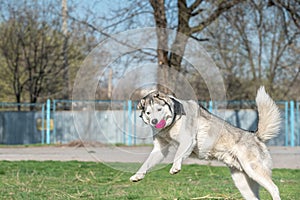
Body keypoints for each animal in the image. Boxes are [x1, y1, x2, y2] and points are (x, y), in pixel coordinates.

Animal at [131, 87, 282, 200]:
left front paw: (175, 167)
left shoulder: (187, 140)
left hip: (254, 170)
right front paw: (137, 176)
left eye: (159, 109)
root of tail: (255, 135)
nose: (154, 122)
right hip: (243, 183)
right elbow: (146, 163)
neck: (171, 125)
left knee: (274, 188)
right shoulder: (160, 149)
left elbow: (178, 154)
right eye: (148, 112)